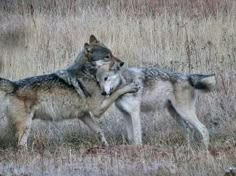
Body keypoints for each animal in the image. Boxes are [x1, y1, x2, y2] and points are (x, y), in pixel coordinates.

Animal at [0, 35, 138, 149]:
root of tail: (13, 85)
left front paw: (106, 146)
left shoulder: (84, 115)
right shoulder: (97, 110)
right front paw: (131, 86)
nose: (122, 63)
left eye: (112, 53)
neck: (88, 73)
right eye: (107, 57)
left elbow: (99, 131)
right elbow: (117, 92)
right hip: (26, 126)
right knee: (21, 145)